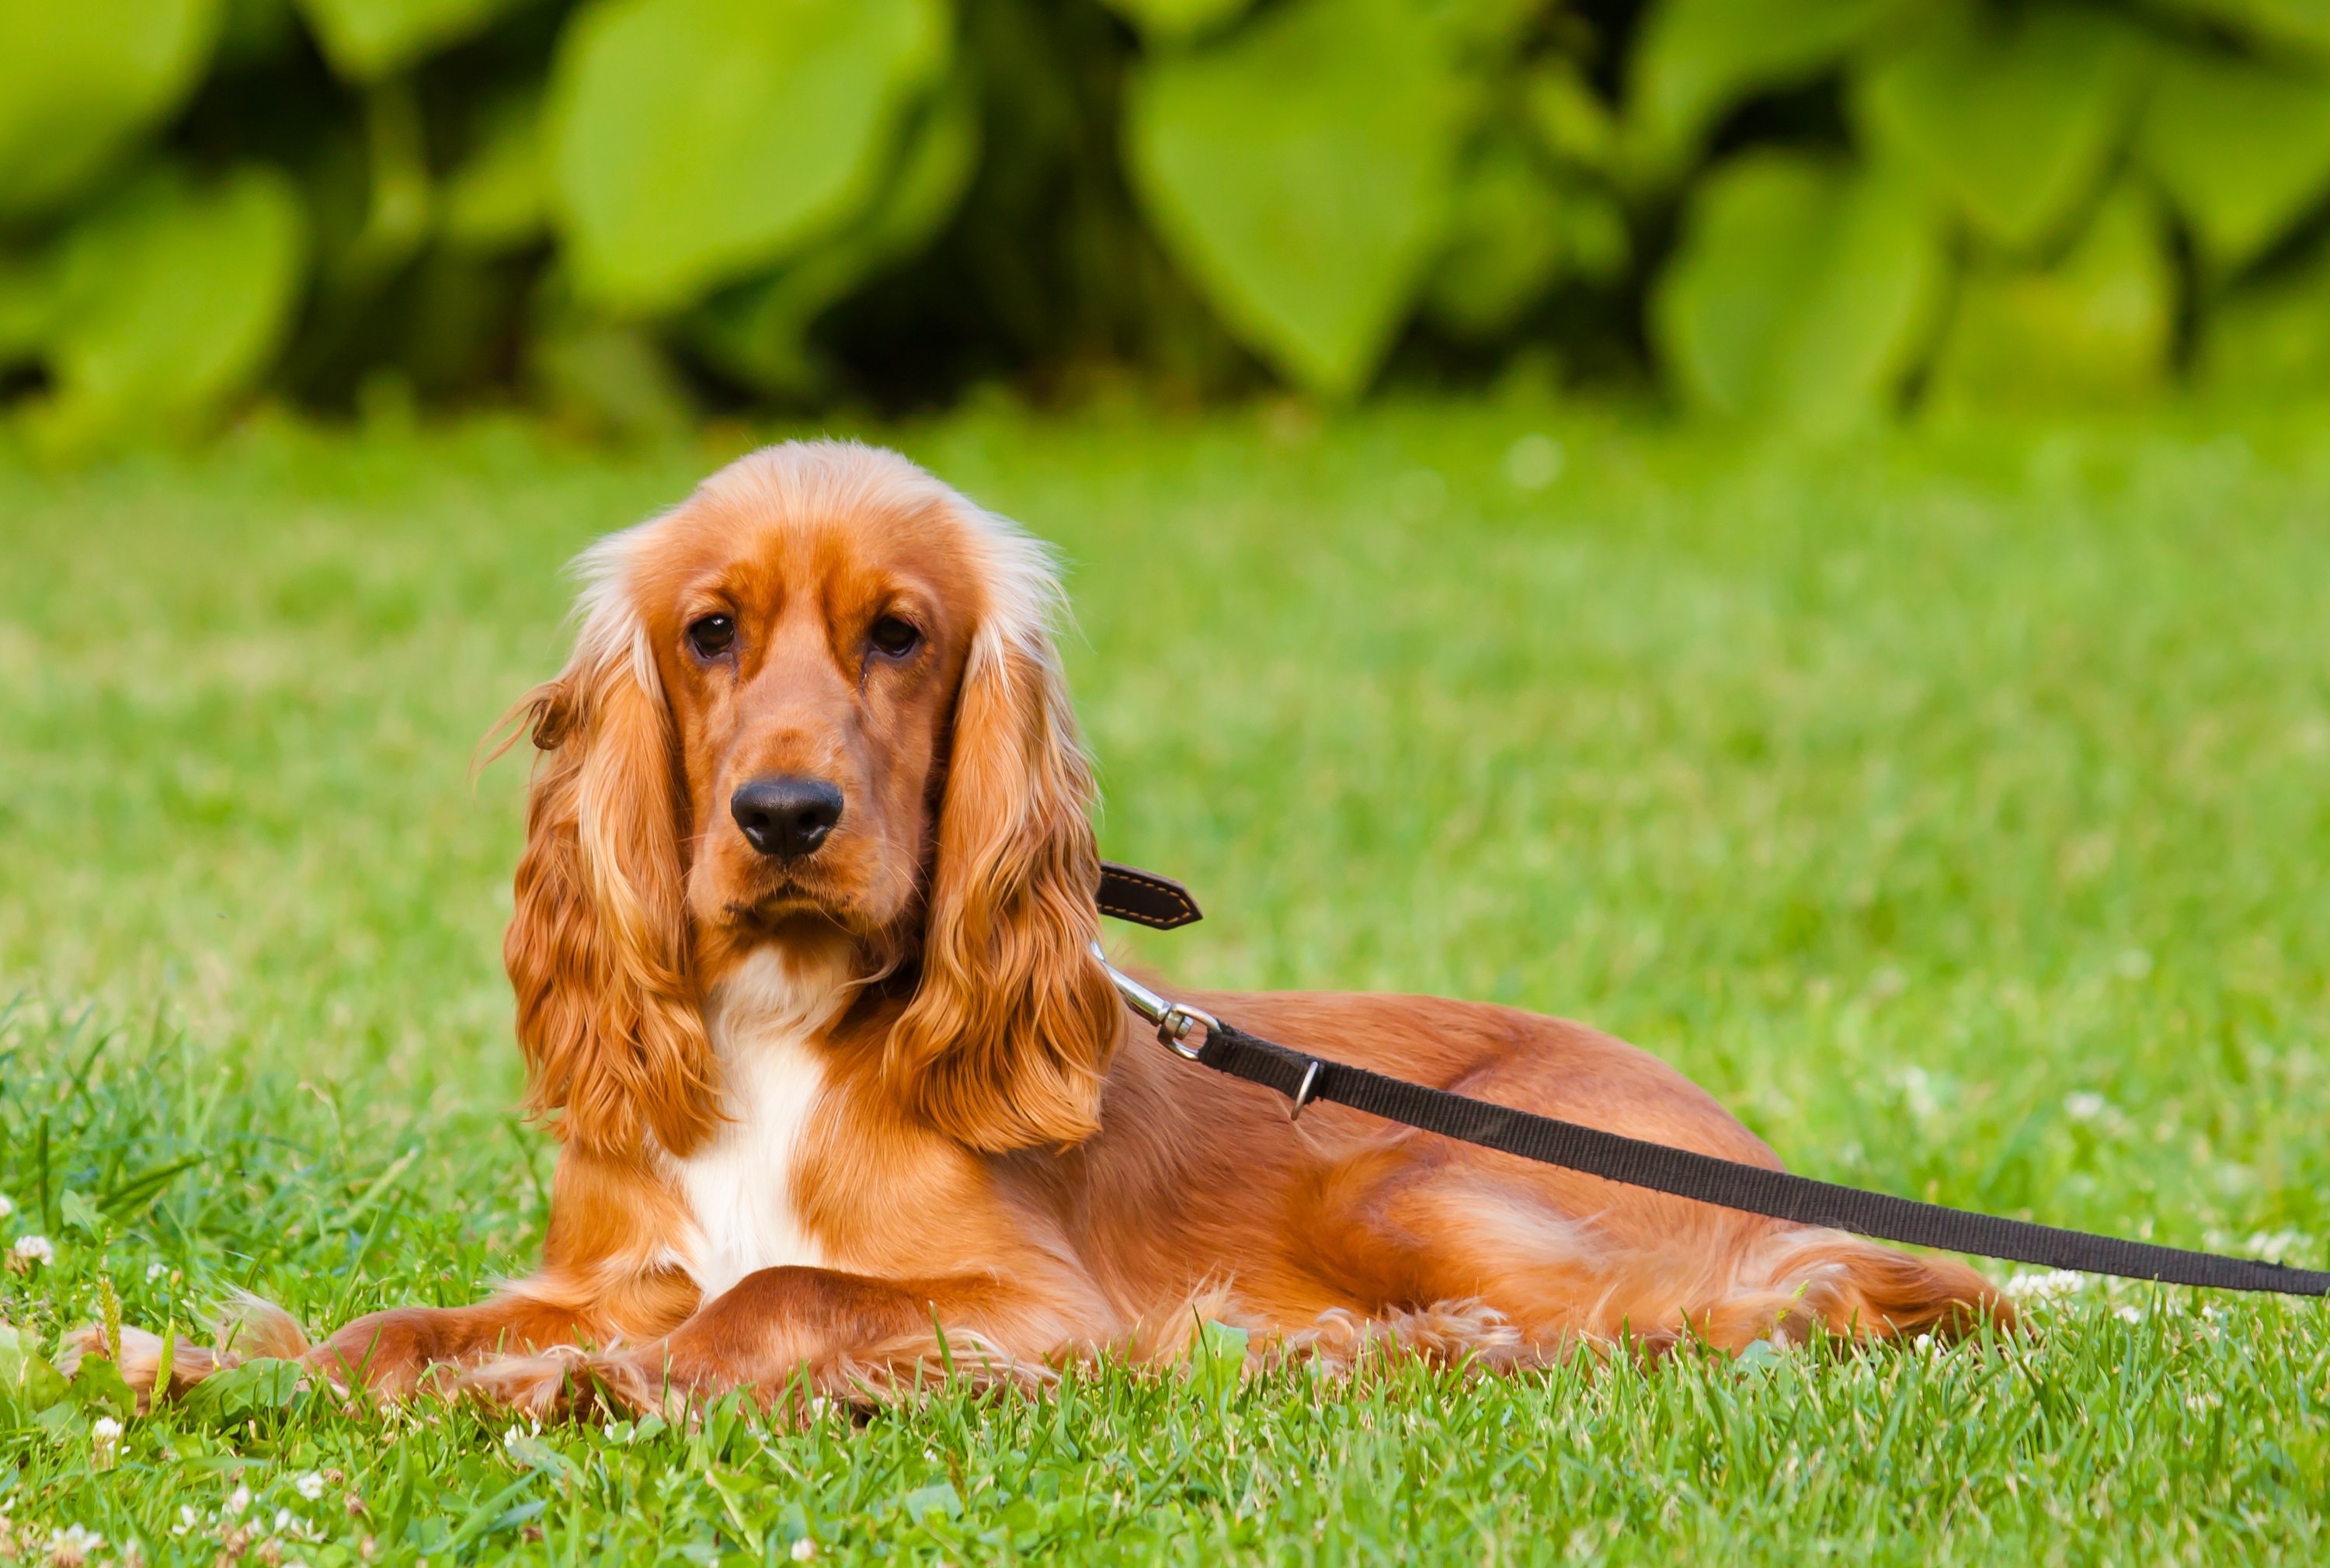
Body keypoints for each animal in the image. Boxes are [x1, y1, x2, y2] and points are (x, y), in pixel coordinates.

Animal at [77, 440, 2004, 1417]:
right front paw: (204, 1361)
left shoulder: (1030, 1297)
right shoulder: (598, 1258)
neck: (780, 1023)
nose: (787, 818)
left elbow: (775, 1289)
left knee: (1763, 1309)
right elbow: (403, 1330)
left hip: (1415, 1177)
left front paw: (587, 1389)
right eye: (710, 631)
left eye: (900, 632)